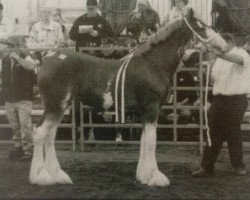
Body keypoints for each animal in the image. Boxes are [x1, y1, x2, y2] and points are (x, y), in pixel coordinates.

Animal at [28, 10, 227, 187]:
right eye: (201, 27)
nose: (224, 46)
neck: (152, 64)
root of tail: (46, 59)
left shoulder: (144, 113)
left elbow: (143, 141)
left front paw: (143, 175)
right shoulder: (151, 109)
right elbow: (151, 142)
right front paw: (155, 177)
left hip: (60, 107)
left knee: (50, 135)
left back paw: (58, 175)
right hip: (55, 106)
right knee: (39, 133)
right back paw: (41, 177)